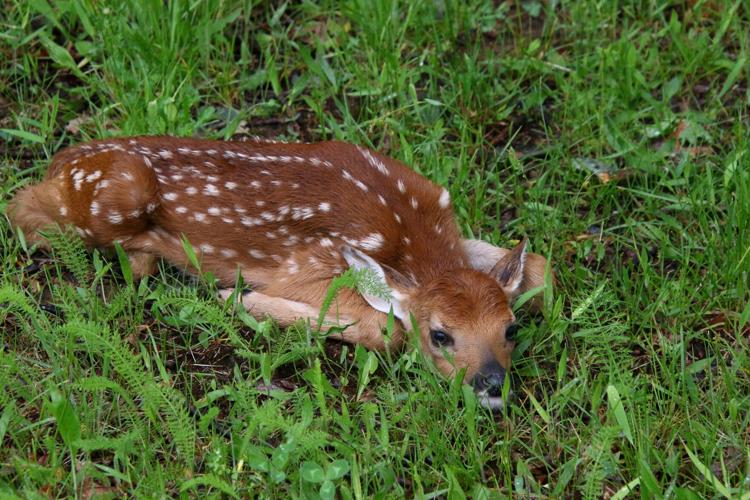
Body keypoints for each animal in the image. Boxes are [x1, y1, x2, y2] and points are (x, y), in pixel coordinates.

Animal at [7, 136, 551, 409]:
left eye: (510, 329)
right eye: (440, 335)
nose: (491, 385)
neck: (409, 236)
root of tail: (61, 160)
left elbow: (544, 270)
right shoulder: (303, 264)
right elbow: (386, 327)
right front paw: (237, 298)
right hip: (115, 192)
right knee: (21, 210)